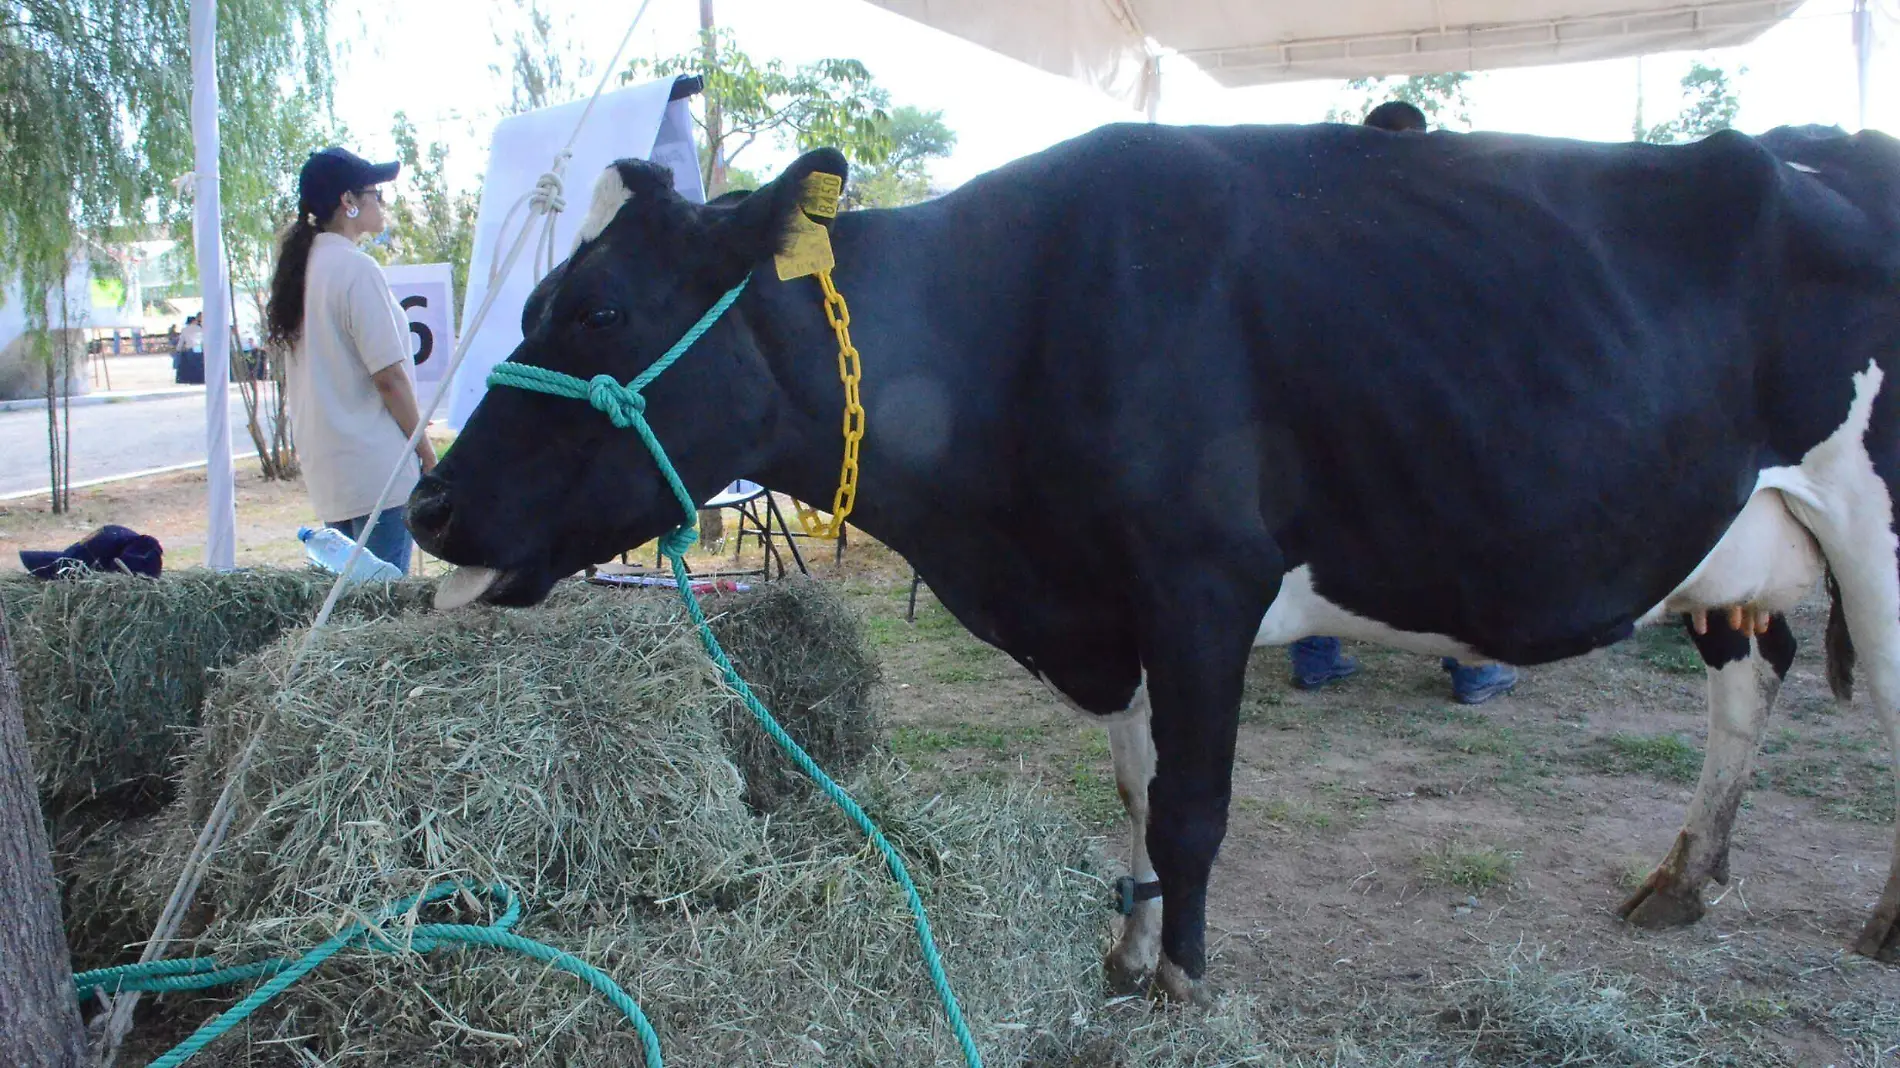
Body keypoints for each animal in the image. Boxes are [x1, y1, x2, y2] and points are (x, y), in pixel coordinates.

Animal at [412, 122, 1900, 995]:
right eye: (534, 302)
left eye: (601, 309)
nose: (426, 509)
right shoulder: (1107, 604)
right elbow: (1131, 790)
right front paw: (1124, 948)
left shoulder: (1198, 582)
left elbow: (1189, 806)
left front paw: (1181, 978)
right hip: (1740, 555)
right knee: (1749, 683)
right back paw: (1682, 881)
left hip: (1877, 536)